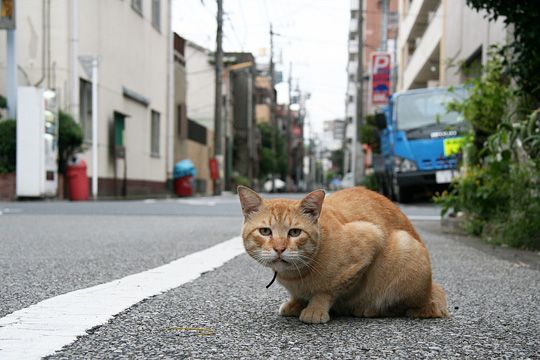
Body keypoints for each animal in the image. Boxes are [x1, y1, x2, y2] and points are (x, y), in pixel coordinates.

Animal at [238, 186, 450, 324]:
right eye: (265, 231)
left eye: (295, 232)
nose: (279, 248)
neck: (296, 275)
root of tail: (432, 289)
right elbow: (299, 295)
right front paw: (296, 303)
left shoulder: (370, 239)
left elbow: (327, 290)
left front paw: (315, 309)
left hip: (406, 248)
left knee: (409, 308)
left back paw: (368, 309)